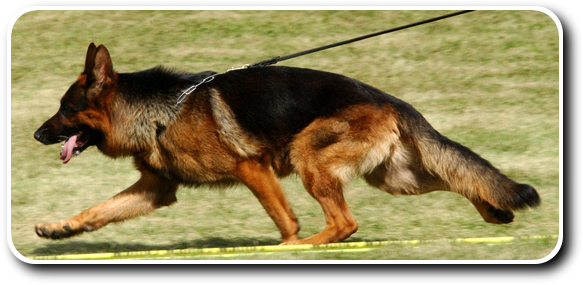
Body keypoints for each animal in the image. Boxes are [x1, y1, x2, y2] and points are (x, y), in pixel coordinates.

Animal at [34, 43, 540, 243]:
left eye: (64, 108)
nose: (37, 134)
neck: (161, 111)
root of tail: (388, 99)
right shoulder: (156, 189)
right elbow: (99, 210)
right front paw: (61, 228)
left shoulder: (252, 169)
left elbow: (285, 220)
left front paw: (285, 244)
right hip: (397, 177)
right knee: (456, 176)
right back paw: (495, 210)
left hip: (307, 156)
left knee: (344, 223)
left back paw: (307, 247)